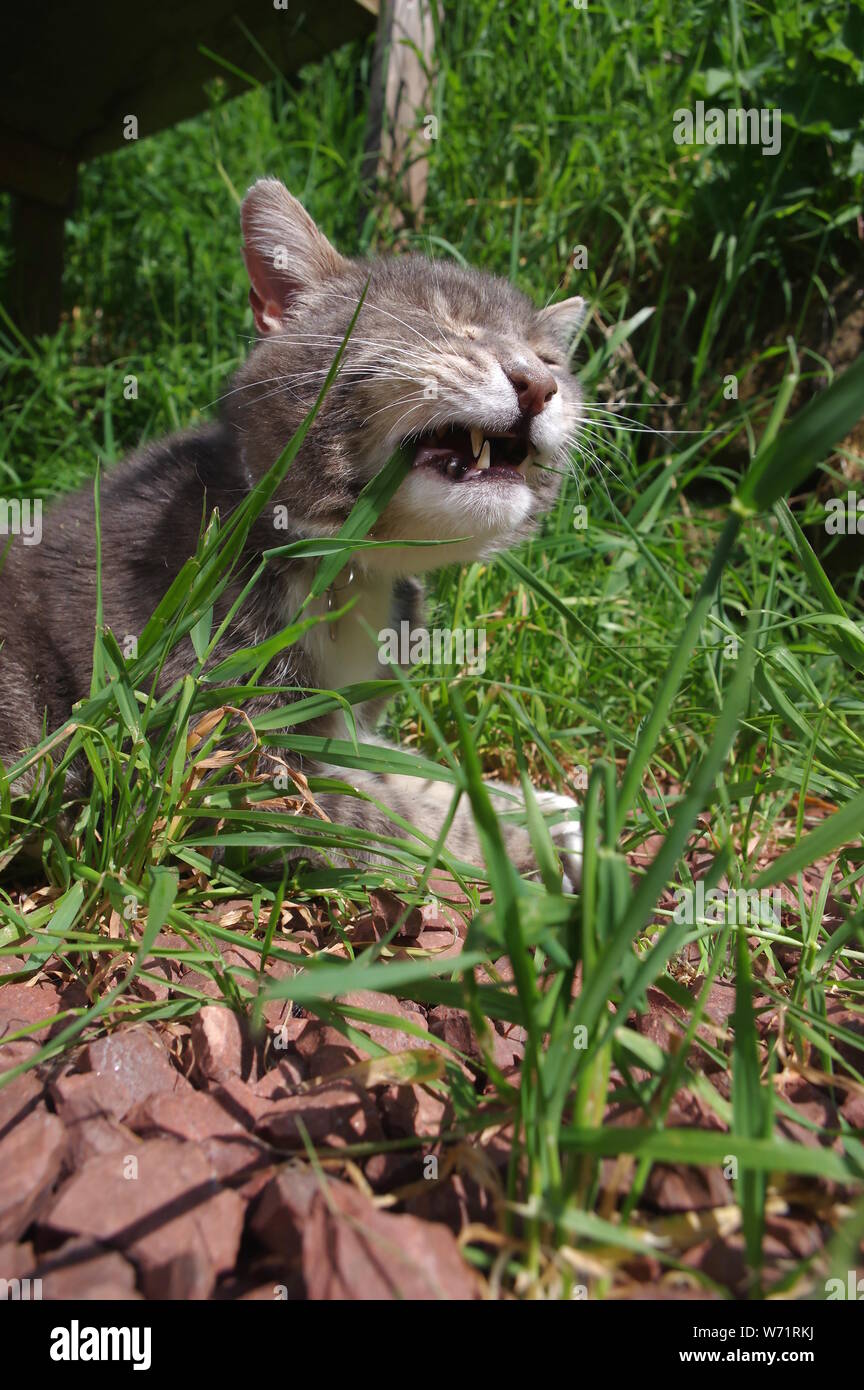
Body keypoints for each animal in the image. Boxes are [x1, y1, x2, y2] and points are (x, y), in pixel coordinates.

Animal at [0, 179, 586, 889]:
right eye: (443, 325)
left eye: (553, 359)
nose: (540, 383)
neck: (350, 565)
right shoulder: (214, 765)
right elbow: (389, 812)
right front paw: (536, 839)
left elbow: (401, 767)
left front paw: (543, 805)